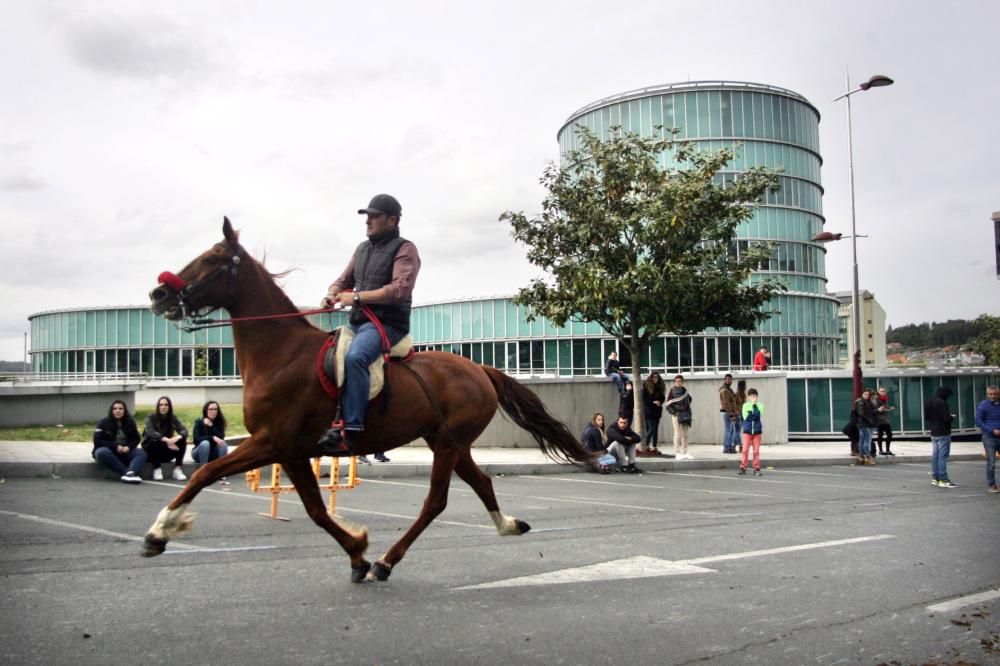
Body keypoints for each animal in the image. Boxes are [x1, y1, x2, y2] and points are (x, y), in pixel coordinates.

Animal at [143, 219, 592, 580]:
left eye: (213, 259)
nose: (158, 294)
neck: (282, 354)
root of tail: (480, 370)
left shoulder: (272, 442)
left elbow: (205, 473)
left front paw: (159, 531)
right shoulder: (292, 452)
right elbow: (315, 510)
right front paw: (357, 553)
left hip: (448, 445)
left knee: (435, 501)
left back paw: (388, 562)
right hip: (448, 442)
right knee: (480, 482)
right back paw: (506, 525)